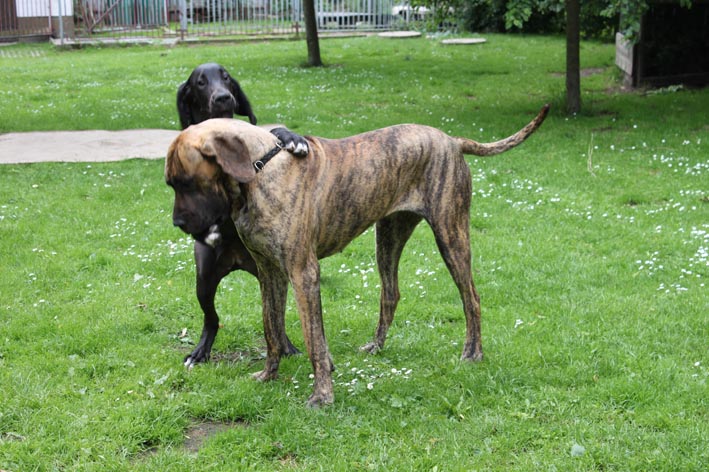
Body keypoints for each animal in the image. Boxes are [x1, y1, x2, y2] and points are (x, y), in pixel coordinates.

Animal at [166, 105, 549, 406]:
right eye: (172, 184)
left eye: (185, 182)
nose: (177, 223)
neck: (261, 170)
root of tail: (452, 140)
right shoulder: (270, 272)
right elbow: (271, 328)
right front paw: (268, 375)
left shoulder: (303, 273)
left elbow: (313, 340)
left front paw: (322, 395)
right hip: (389, 236)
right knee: (391, 293)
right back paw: (376, 346)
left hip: (451, 234)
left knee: (471, 297)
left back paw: (473, 353)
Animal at [176, 63, 307, 367]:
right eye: (200, 82)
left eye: (225, 77)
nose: (224, 97)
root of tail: (235, 260)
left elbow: (275, 132)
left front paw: (293, 139)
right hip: (204, 280)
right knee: (211, 319)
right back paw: (200, 351)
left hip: (272, 274)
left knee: (276, 319)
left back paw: (287, 346)